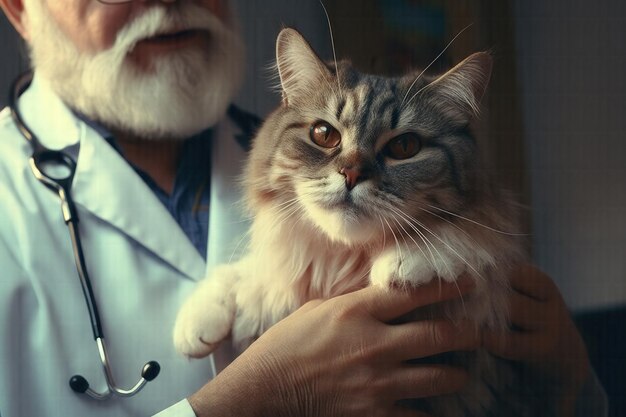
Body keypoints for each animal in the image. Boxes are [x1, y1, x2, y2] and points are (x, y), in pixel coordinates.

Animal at [172, 27, 540, 414]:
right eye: (323, 135)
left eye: (405, 147)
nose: (351, 173)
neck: (341, 260)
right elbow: (253, 268)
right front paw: (203, 315)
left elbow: (475, 240)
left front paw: (406, 260)